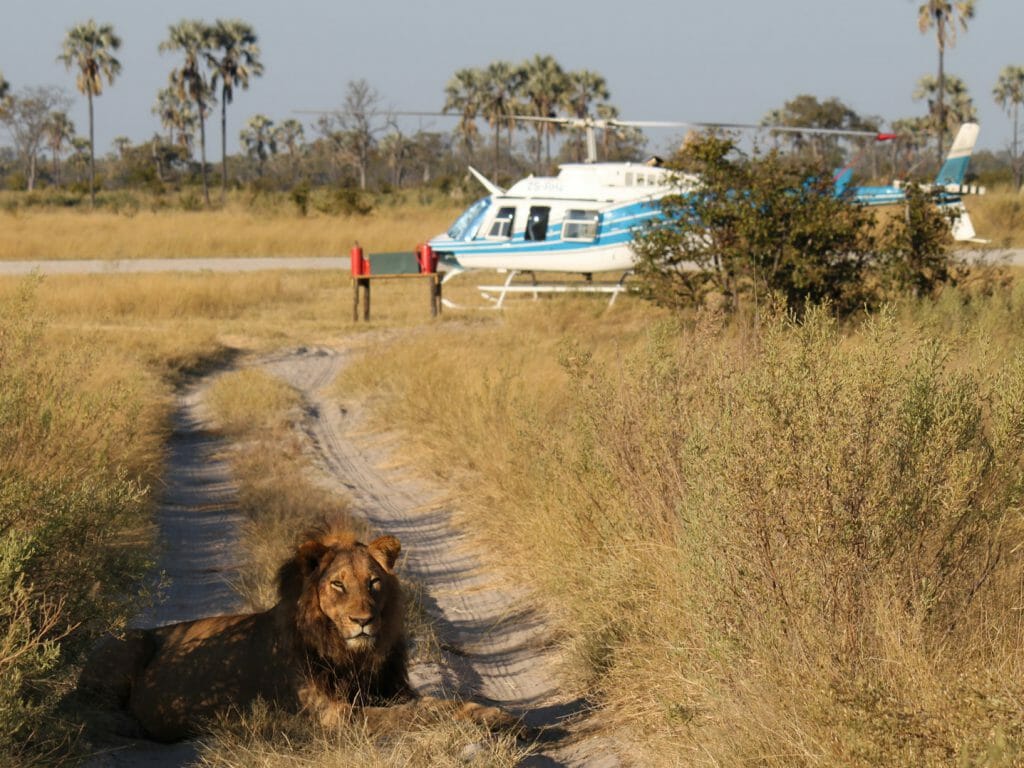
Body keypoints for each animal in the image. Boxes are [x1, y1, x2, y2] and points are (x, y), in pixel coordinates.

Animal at [79, 526, 515, 742]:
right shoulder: (333, 715)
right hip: (126, 641)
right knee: (81, 707)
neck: (353, 656)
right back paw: (126, 727)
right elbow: (413, 715)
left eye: (373, 583)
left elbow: (438, 702)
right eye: (337, 585)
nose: (363, 621)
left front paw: (500, 717)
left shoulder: (389, 690)